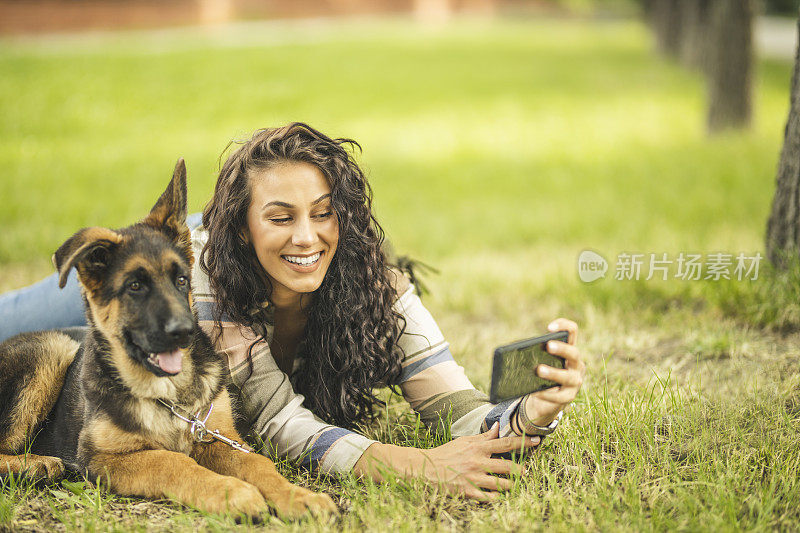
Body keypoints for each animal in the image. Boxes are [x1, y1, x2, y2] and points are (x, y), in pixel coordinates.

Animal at [0, 159, 340, 520]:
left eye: (181, 281)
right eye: (135, 286)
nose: (185, 332)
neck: (170, 396)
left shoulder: (215, 435)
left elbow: (257, 464)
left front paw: (297, 496)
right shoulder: (103, 457)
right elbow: (172, 461)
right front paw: (232, 492)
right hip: (53, 349)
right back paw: (35, 465)